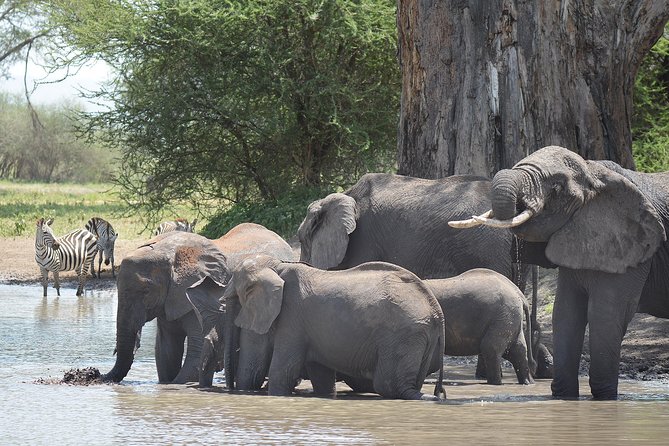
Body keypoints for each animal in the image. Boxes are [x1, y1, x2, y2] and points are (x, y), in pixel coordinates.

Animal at [202, 255, 445, 400]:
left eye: (238, 297)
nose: (229, 390)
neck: (278, 266)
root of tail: (436, 311)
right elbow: (322, 377)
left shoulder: (290, 316)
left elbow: (275, 371)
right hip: (420, 337)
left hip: (402, 335)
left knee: (388, 384)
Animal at [449, 146, 669, 400]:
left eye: (556, 187)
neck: (593, 171)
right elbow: (565, 312)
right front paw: (564, 397)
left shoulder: (634, 247)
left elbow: (605, 314)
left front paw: (604, 398)